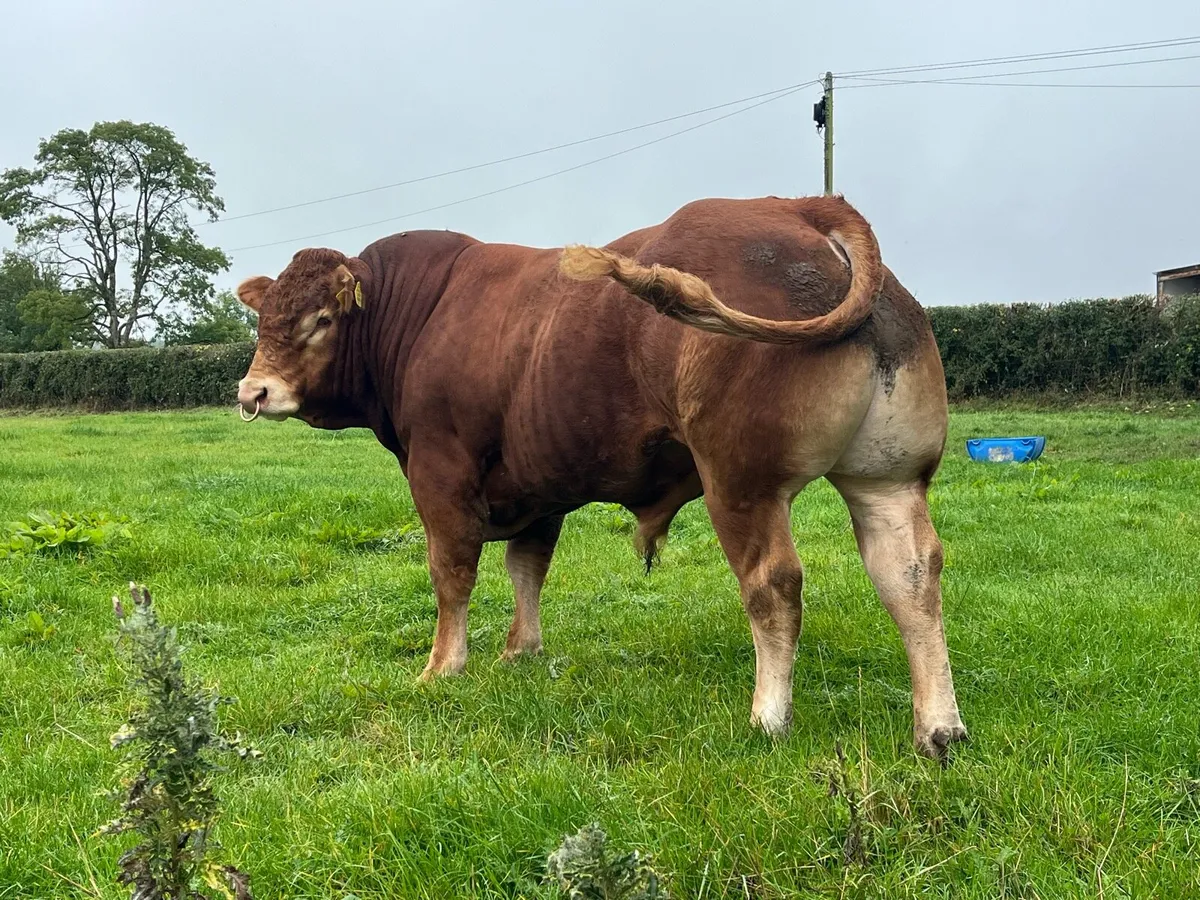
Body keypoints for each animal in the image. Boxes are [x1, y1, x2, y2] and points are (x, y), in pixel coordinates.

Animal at [234, 195, 967, 759]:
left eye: (320, 320)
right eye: (265, 319)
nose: (252, 392)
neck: (417, 316)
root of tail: (798, 207)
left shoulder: (440, 472)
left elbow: (452, 574)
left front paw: (443, 667)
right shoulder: (536, 485)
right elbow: (527, 568)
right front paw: (520, 653)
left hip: (741, 481)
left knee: (773, 584)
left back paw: (767, 717)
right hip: (888, 477)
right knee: (910, 574)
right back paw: (939, 727)